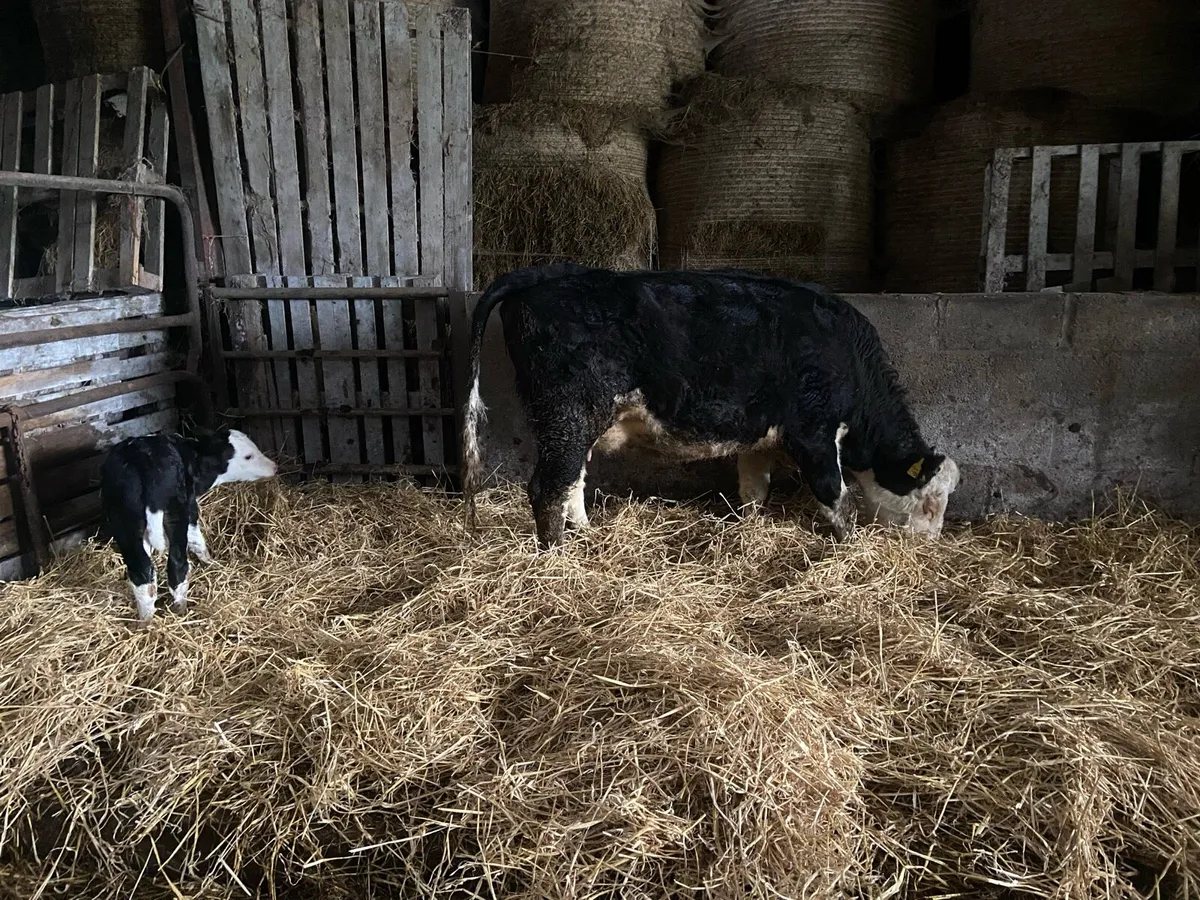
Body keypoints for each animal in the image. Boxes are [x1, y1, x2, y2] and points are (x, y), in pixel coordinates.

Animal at [100, 429, 278, 622]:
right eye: (248, 456)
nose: (274, 466)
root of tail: (142, 459)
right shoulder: (191, 507)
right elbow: (197, 539)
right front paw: (211, 562)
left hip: (124, 521)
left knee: (141, 574)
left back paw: (146, 621)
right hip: (176, 513)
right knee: (177, 567)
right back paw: (181, 610)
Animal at [461, 265, 959, 550]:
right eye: (931, 502)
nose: (931, 548)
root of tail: (545, 273)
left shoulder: (761, 439)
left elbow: (754, 490)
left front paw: (752, 528)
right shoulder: (813, 433)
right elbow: (835, 496)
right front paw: (850, 547)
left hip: (573, 420)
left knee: (571, 480)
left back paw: (584, 533)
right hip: (570, 410)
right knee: (548, 487)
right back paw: (557, 557)